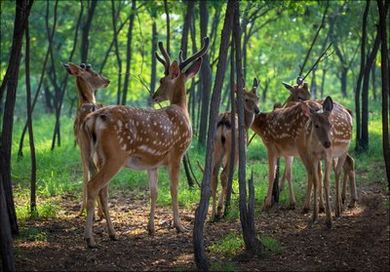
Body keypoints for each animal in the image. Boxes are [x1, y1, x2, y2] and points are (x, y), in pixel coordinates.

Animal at [63, 62, 109, 218]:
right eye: (95, 73)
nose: (107, 80)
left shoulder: (80, 146)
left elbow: (84, 173)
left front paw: (81, 210)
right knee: (100, 174)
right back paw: (101, 212)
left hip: (86, 144)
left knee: (92, 171)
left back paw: (95, 213)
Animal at [77, 37, 209, 248]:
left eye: (162, 80)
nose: (154, 95)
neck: (182, 111)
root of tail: (92, 120)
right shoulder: (177, 152)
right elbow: (174, 189)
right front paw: (179, 226)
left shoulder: (152, 162)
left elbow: (154, 192)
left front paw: (151, 228)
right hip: (115, 155)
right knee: (94, 186)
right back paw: (90, 239)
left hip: (93, 154)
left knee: (101, 190)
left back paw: (112, 233)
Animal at [209, 78, 260, 221]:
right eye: (246, 99)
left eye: (257, 98)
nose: (257, 110)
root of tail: (223, 122)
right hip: (234, 149)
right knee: (224, 174)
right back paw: (220, 209)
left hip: (216, 148)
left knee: (214, 174)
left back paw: (212, 213)